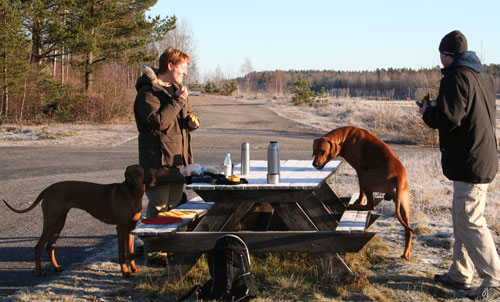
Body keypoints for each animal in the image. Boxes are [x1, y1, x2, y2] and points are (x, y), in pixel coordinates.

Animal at [2, 165, 150, 278]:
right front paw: (125, 272)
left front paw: (133, 268)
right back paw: (39, 271)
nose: (131, 185)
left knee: (50, 246)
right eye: (128, 174)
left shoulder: (131, 226)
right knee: (38, 246)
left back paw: (56, 267)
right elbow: (121, 253)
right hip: (52, 221)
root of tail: (47, 189)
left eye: (138, 173)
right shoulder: (121, 227)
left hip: (59, 222)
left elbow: (130, 251)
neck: (132, 196)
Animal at [312, 126, 414, 260]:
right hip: (403, 204)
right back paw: (406, 253)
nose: (314, 164)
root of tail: (399, 177)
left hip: (367, 177)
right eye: (314, 151)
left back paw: (356, 206)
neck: (345, 137)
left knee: (371, 205)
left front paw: (359, 201)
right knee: (409, 230)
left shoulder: (360, 169)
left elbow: (361, 191)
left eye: (323, 151)